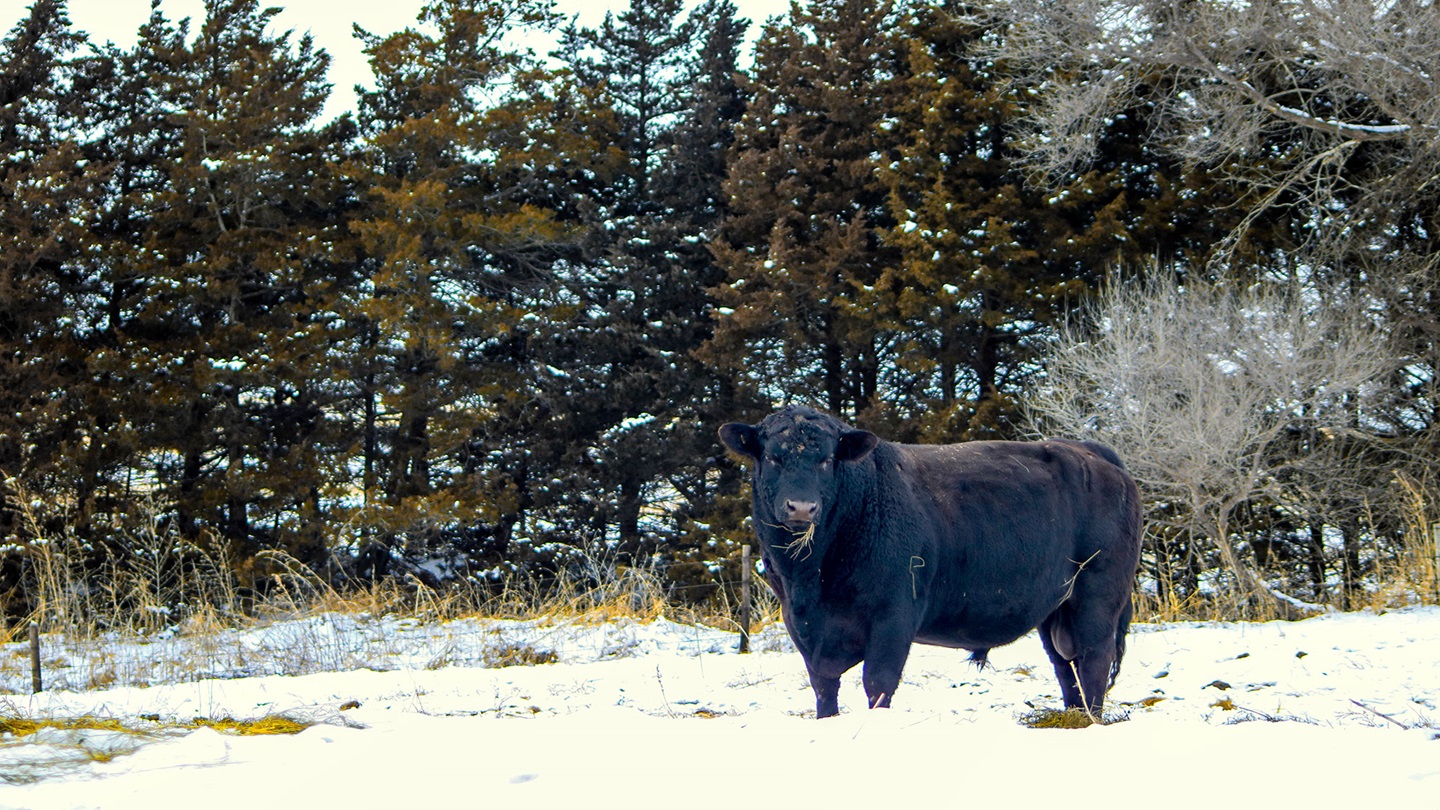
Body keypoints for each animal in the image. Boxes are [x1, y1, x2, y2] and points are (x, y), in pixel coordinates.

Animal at [719, 404, 1142, 719]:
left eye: (826, 460)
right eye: (773, 457)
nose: (802, 507)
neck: (811, 577)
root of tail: (1090, 451)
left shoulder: (894, 614)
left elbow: (879, 683)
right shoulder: (802, 626)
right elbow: (824, 688)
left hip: (1098, 594)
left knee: (1093, 660)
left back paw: (1090, 720)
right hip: (1057, 608)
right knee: (1065, 667)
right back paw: (1074, 717)